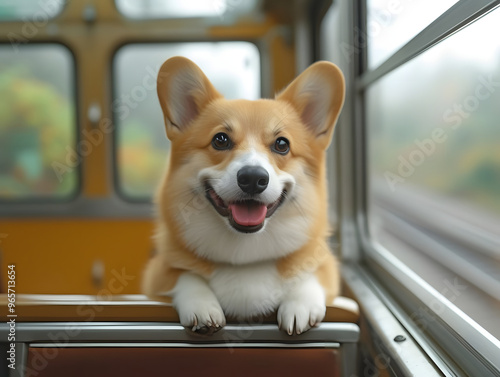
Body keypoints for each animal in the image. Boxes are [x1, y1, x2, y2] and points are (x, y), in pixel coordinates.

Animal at [141, 54, 344, 334]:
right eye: (220, 140)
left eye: (282, 144)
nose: (253, 179)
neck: (246, 256)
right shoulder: (158, 273)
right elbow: (184, 275)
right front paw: (202, 306)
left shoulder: (325, 268)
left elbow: (311, 275)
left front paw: (299, 304)